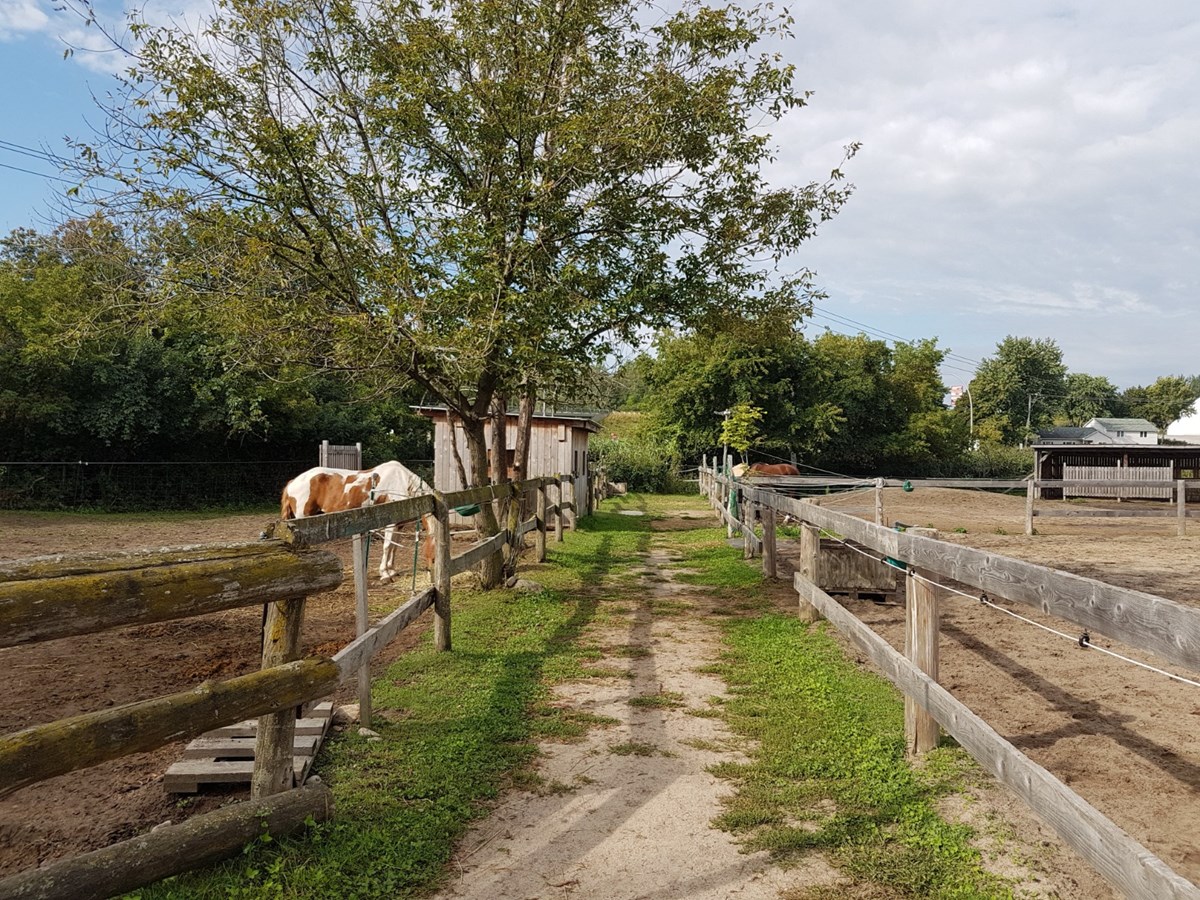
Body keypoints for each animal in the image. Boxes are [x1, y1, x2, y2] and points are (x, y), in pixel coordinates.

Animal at [281, 460, 436, 584]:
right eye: (434, 558)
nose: (433, 579)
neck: (403, 482)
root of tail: (292, 482)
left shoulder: (400, 524)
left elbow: (394, 547)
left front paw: (391, 570)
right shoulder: (391, 524)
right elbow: (387, 547)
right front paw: (385, 574)